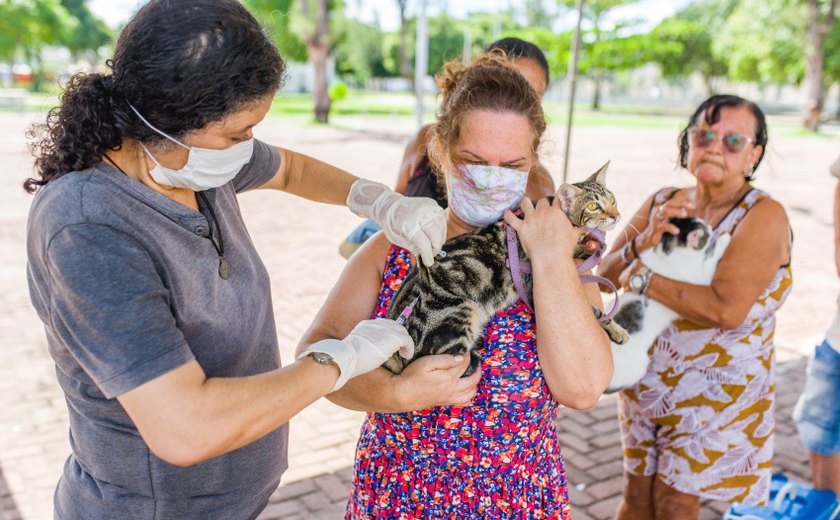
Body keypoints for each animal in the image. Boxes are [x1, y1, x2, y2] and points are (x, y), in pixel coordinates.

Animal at [384, 161, 628, 374]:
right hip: (459, 314)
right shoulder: (533, 286)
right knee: (447, 360)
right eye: (593, 206)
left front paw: (586, 248)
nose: (616, 215)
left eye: (613, 200)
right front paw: (618, 330)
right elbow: (596, 312)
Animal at [608, 217, 732, 392]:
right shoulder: (698, 277)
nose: (710, 225)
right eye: (707, 230)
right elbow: (710, 261)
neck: (667, 255)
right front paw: (723, 239)